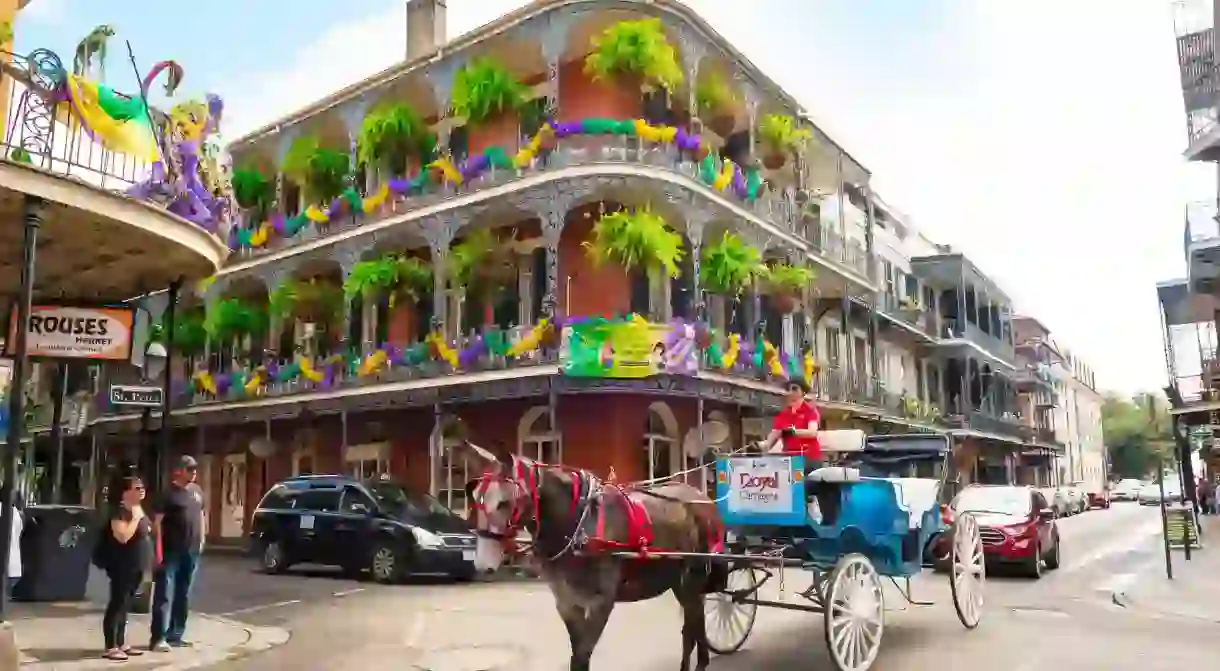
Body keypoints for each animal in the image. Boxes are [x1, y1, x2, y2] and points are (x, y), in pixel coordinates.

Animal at [456, 441, 722, 671]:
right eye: (475, 498)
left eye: (504, 502)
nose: (482, 564)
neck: (577, 525)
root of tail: (702, 497)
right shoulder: (567, 602)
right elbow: (577, 653)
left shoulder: (600, 603)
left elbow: (582, 656)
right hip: (680, 582)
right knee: (694, 623)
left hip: (692, 578)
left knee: (693, 623)